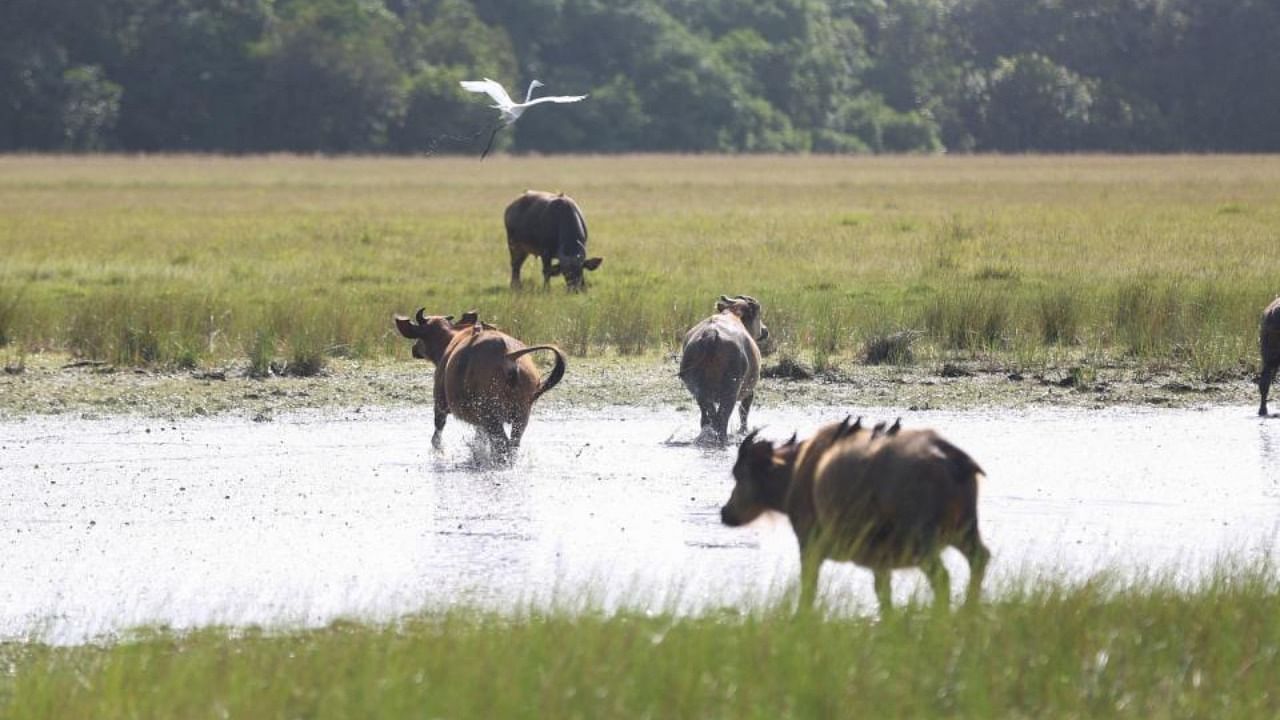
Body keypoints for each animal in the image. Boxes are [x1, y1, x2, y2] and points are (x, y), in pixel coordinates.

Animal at [394, 307, 565, 453]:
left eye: (420, 337)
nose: (414, 349)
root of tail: (509, 355)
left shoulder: (440, 404)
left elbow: (437, 434)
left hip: (491, 415)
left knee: (502, 446)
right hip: (521, 416)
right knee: (512, 445)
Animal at [680, 293, 768, 440]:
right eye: (759, 311)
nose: (765, 330)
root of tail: (711, 333)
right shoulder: (749, 390)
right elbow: (744, 410)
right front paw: (743, 431)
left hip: (698, 390)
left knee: (708, 415)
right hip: (732, 388)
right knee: (723, 417)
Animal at [721, 415, 988, 609]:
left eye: (739, 473)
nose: (725, 512)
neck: (801, 470)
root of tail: (952, 458)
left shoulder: (809, 546)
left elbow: (809, 589)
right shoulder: (880, 562)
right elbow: (883, 594)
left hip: (923, 542)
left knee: (942, 578)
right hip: (965, 530)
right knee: (980, 559)